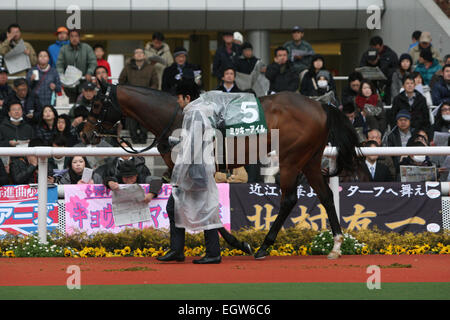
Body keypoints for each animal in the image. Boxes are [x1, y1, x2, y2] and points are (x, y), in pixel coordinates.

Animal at [82, 82, 360, 260]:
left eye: (96, 104)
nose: (83, 132)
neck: (176, 118)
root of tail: (321, 107)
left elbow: (203, 209)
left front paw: (239, 244)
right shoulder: (177, 169)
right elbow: (174, 207)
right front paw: (176, 250)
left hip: (291, 159)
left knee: (289, 199)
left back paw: (264, 246)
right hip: (310, 159)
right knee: (326, 196)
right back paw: (335, 245)